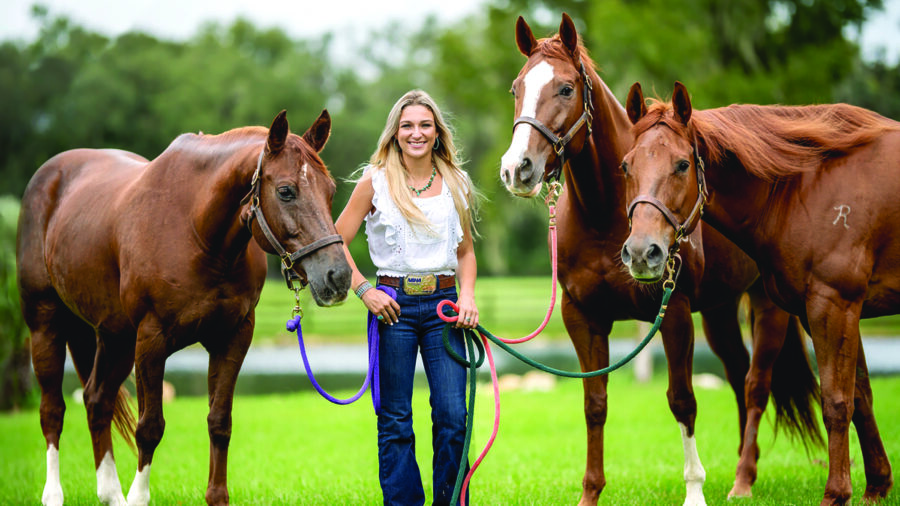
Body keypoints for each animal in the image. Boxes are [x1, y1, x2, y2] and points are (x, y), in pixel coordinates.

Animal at [16, 109, 352, 506]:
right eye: (286, 191)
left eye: (330, 191)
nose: (338, 275)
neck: (196, 230)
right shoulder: (152, 339)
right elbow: (149, 427)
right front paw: (139, 497)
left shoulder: (233, 336)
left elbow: (220, 421)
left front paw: (217, 497)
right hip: (46, 325)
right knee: (52, 410)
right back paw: (53, 494)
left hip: (115, 337)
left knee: (97, 399)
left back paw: (110, 492)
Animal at [499, 14, 821, 505]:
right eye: (517, 87)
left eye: (566, 88)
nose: (517, 169)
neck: (607, 215)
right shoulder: (583, 317)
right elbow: (594, 403)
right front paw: (590, 492)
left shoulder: (674, 312)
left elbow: (682, 399)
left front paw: (695, 491)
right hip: (721, 312)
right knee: (737, 374)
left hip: (768, 307)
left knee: (755, 383)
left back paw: (743, 480)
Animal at [621, 80, 900, 504]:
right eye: (625, 166)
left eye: (682, 165)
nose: (641, 252)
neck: (808, 185)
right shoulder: (829, 311)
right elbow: (861, 397)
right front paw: (877, 486)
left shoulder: (833, 306)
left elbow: (836, 402)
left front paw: (836, 493)